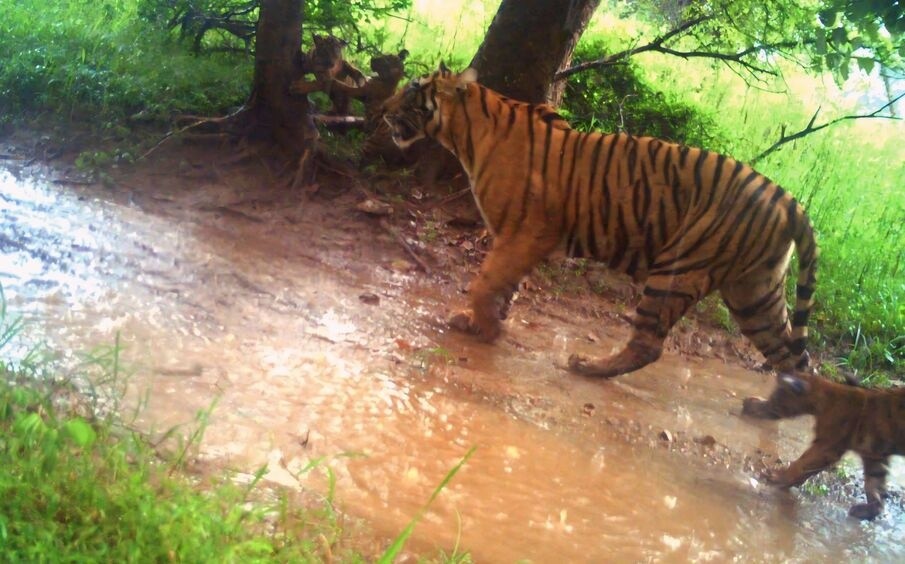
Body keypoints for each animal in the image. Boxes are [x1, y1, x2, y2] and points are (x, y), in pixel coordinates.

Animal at [382, 64, 819, 397]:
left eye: (412, 89)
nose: (382, 108)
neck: (466, 134)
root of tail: (786, 198)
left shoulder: (526, 233)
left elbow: (486, 283)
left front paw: (487, 329)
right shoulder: (515, 237)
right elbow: (502, 286)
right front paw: (482, 324)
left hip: (680, 269)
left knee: (649, 345)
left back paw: (587, 366)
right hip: (755, 292)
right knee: (795, 358)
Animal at [743, 372, 905, 520]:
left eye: (774, 396)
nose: (746, 402)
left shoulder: (827, 445)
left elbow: (803, 462)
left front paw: (777, 476)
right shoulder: (874, 456)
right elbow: (874, 483)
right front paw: (869, 510)